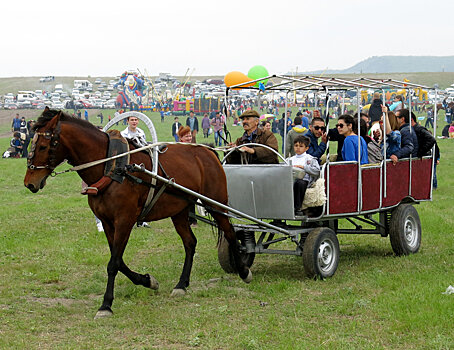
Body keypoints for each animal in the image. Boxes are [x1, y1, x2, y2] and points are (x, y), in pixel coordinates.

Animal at [24, 108, 252, 318]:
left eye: (43, 146)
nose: (29, 183)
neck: (113, 167)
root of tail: (207, 151)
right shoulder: (108, 223)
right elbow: (119, 261)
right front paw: (147, 281)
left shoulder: (124, 220)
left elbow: (114, 263)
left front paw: (106, 305)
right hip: (179, 211)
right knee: (190, 242)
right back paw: (182, 284)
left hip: (216, 204)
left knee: (230, 233)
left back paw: (243, 270)